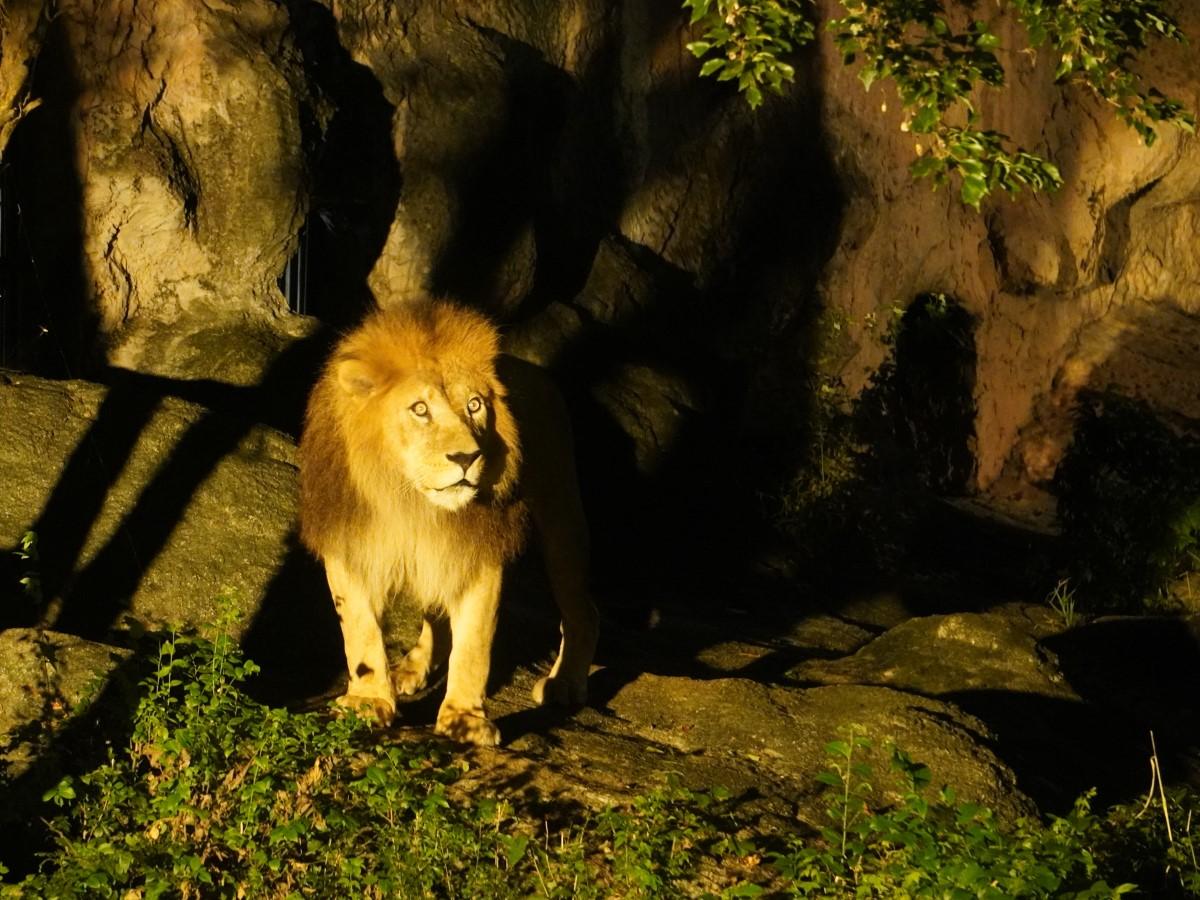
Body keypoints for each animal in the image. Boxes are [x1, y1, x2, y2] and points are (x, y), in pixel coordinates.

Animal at [297, 300, 597, 748]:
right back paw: (411, 668)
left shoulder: (479, 550)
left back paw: (564, 683)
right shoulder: (351, 543)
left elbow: (474, 644)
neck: (411, 501)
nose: (466, 458)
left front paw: (465, 720)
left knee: (582, 608)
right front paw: (370, 701)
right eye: (420, 409)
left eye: (474, 405)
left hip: (560, 515)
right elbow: (360, 631)